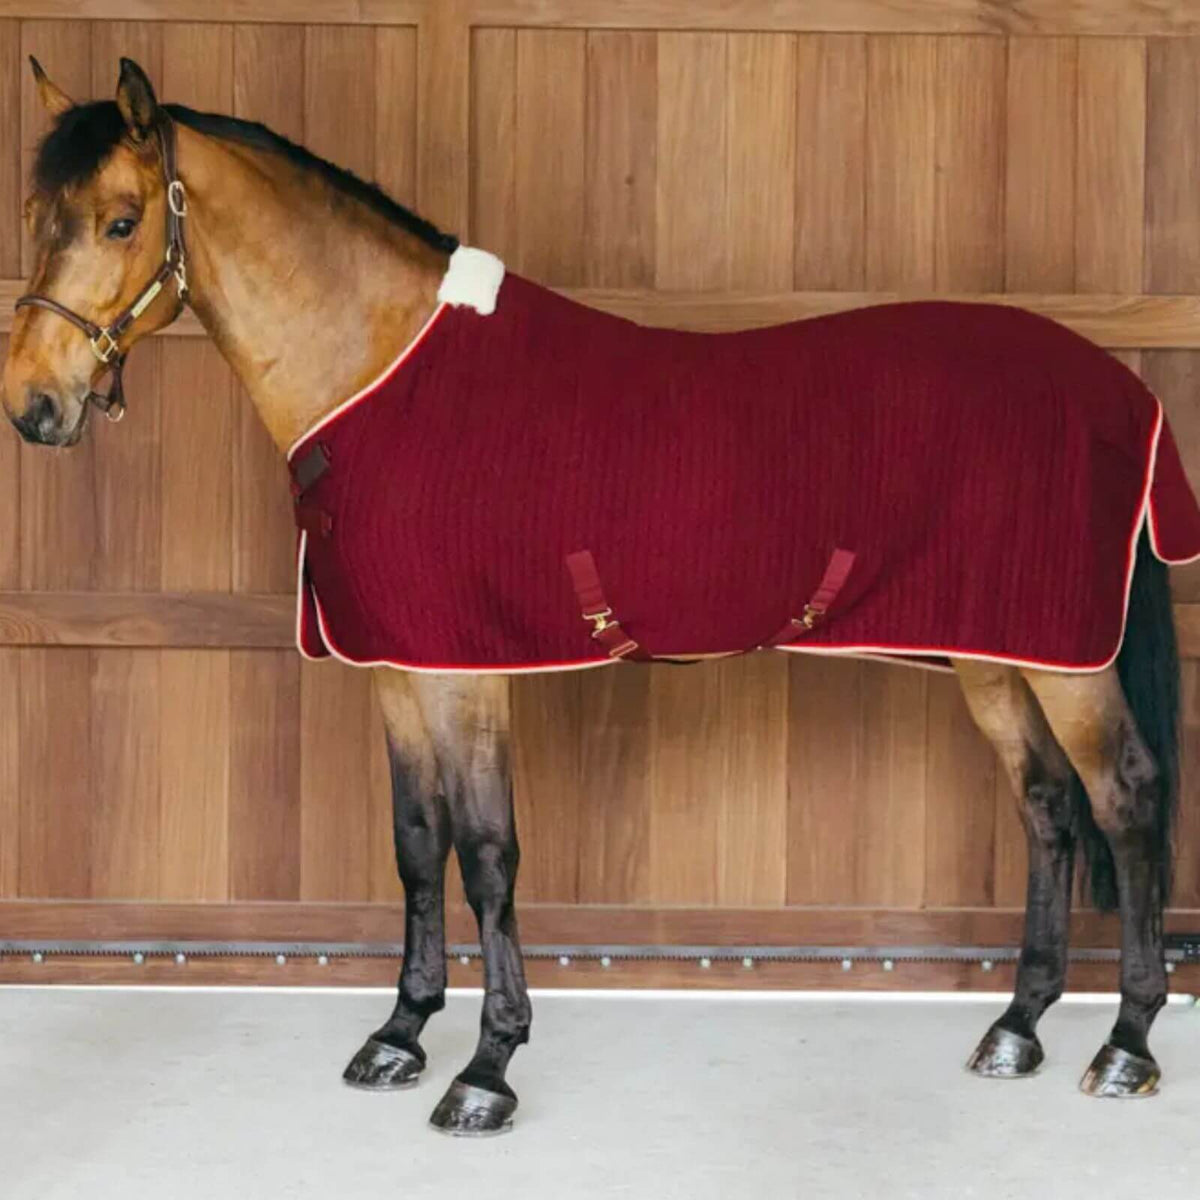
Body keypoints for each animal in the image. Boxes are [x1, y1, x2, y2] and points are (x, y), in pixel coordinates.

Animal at [4, 57, 1197, 1137]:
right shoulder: (397, 668)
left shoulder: (467, 673)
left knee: (1126, 800)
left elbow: (487, 854)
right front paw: (398, 1035)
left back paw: (1127, 1046)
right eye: (35, 216)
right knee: (1047, 806)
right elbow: (415, 841)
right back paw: (1019, 1028)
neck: (385, 369)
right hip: (997, 653)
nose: (32, 405)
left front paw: (485, 1072)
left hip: (1062, 660)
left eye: (119, 222)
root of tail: (1119, 388)